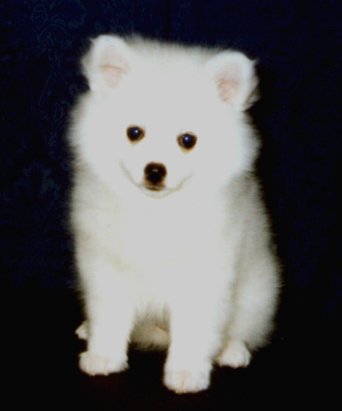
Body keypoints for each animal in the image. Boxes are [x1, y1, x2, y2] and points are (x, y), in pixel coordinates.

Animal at [68, 33, 280, 394]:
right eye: (134, 132)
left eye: (187, 140)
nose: (155, 169)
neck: (157, 213)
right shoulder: (105, 268)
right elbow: (109, 316)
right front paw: (103, 357)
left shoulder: (204, 273)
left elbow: (195, 330)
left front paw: (186, 373)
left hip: (257, 291)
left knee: (244, 327)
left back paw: (232, 350)